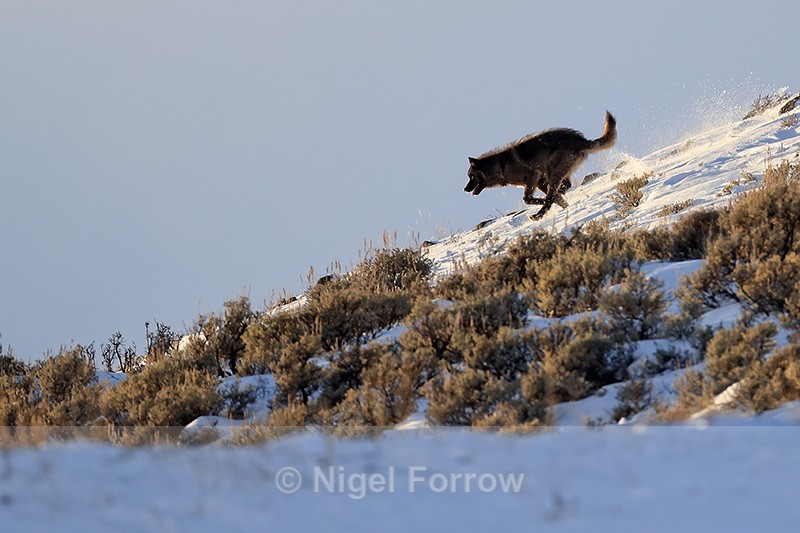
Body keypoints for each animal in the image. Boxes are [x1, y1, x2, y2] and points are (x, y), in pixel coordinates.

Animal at [464, 111, 617, 220]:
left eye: (471, 177)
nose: (465, 189)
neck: (500, 166)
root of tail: (581, 140)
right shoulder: (539, 182)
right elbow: (555, 198)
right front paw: (563, 204)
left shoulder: (533, 178)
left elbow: (529, 199)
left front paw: (543, 203)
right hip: (554, 174)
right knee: (563, 187)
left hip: (554, 174)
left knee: (553, 194)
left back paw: (538, 215)